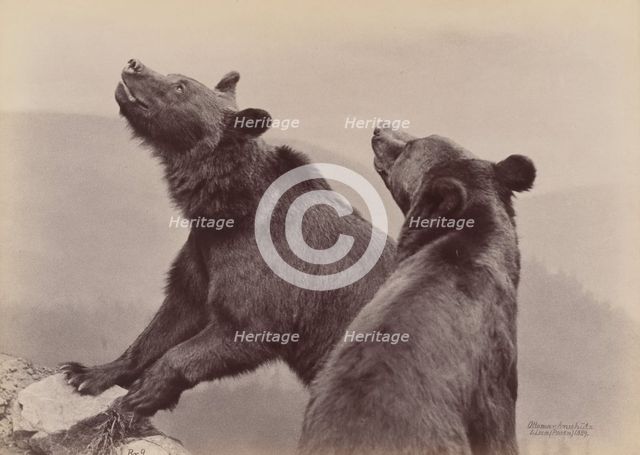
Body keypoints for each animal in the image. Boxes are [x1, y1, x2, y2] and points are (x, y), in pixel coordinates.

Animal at [61, 59, 396, 416]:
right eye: (175, 76)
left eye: (180, 87)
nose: (134, 64)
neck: (231, 206)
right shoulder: (204, 251)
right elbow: (176, 311)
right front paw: (87, 373)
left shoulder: (272, 269)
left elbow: (244, 326)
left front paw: (147, 391)